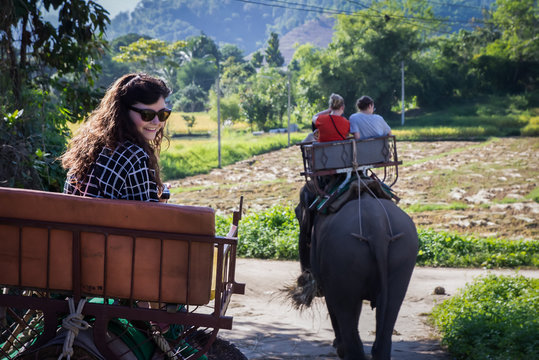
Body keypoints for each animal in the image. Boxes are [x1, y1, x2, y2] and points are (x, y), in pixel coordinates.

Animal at [296, 183, 418, 360]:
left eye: (297, 214)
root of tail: (377, 225)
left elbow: (333, 303)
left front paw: (338, 345)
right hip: (403, 256)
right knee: (392, 305)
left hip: (343, 254)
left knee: (344, 307)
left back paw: (345, 352)